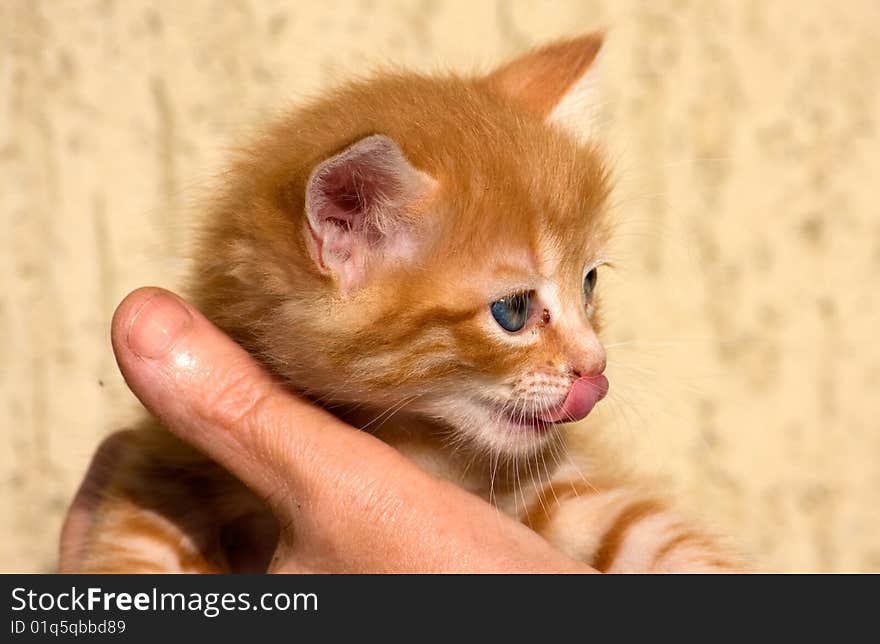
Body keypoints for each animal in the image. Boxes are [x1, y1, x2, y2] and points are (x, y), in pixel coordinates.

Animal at [60, 32, 744, 572]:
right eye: (514, 312)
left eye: (589, 283)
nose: (595, 369)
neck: (421, 441)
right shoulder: (168, 465)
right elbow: (133, 545)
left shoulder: (559, 486)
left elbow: (649, 528)